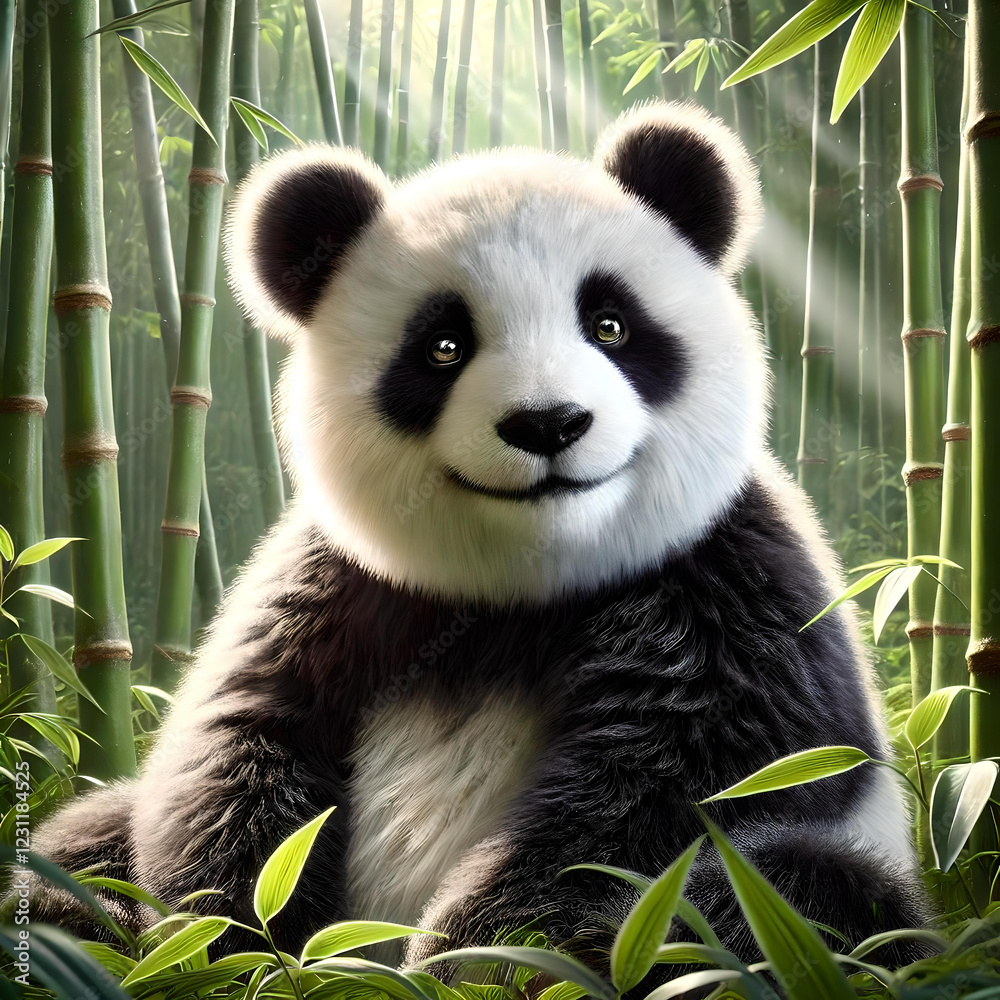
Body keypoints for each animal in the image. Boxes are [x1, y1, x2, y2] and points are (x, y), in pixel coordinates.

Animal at [24, 101, 927, 987]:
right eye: (443, 347)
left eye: (610, 324)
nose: (548, 422)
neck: (523, 582)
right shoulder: (339, 584)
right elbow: (236, 747)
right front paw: (247, 947)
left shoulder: (726, 579)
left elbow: (673, 794)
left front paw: (479, 953)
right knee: (82, 842)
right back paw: (74, 928)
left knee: (783, 897)